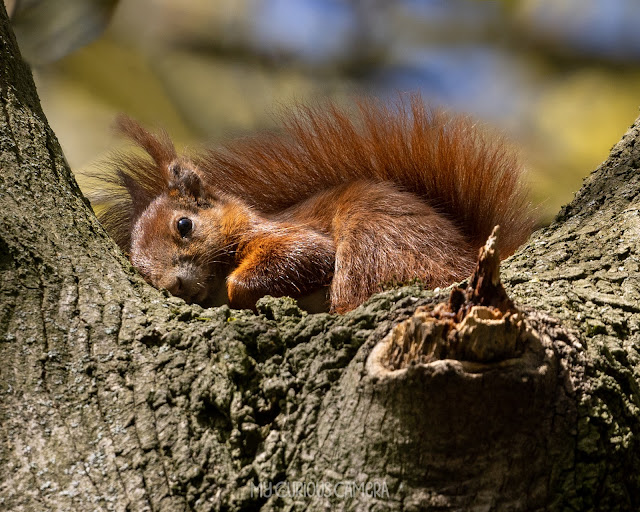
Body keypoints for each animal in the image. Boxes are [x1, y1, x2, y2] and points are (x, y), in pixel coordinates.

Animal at [94, 95, 536, 312]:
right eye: (138, 268)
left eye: (184, 225)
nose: (175, 286)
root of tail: (467, 254)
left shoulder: (286, 236)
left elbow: (308, 256)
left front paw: (240, 292)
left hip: (376, 240)